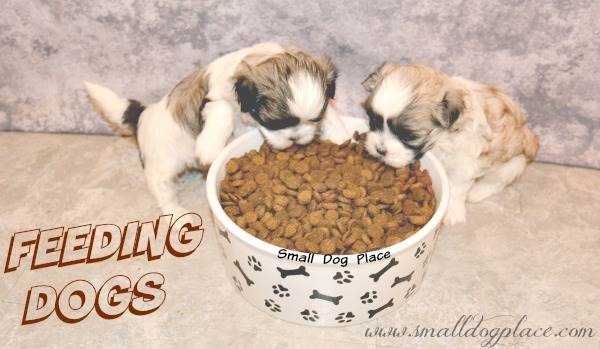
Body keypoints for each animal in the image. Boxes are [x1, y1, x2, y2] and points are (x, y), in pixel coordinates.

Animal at [360, 63, 540, 224]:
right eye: (373, 122)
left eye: (408, 135)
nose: (379, 150)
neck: (441, 140)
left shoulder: (465, 165)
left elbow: (457, 189)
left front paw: (453, 212)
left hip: (514, 164)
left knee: (497, 181)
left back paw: (477, 193)